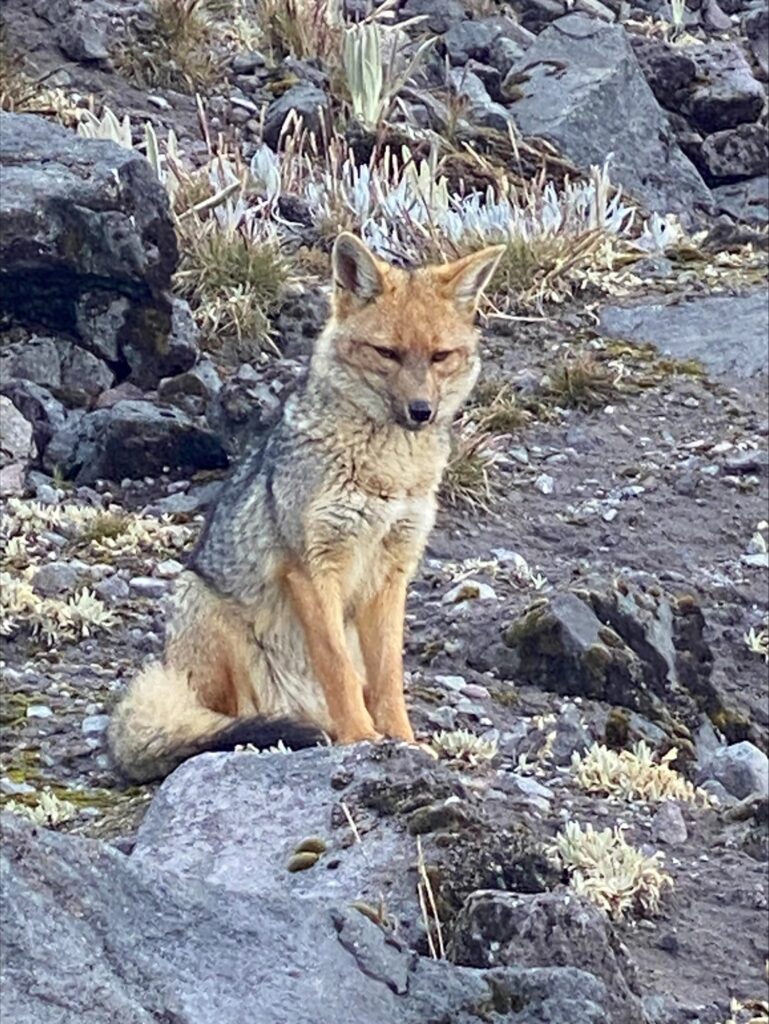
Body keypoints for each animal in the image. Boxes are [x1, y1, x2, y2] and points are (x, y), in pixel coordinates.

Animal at [108, 232, 505, 778]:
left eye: (441, 356)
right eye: (387, 353)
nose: (421, 411)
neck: (388, 473)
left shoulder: (392, 573)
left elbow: (388, 677)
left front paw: (402, 741)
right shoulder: (312, 567)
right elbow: (336, 667)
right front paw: (360, 738)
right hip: (208, 611)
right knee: (219, 721)